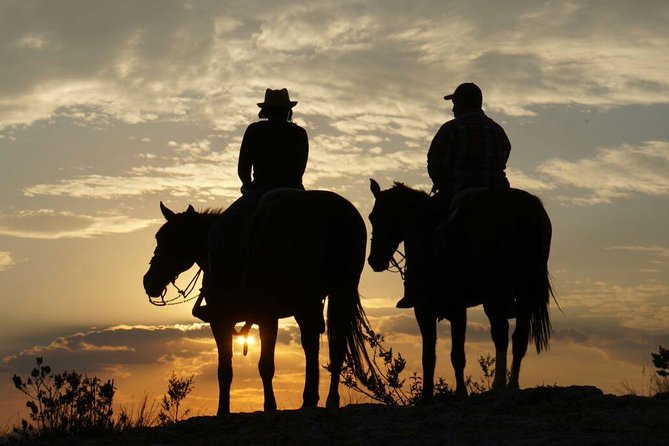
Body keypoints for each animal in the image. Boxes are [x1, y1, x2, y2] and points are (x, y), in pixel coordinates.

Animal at [143, 191, 370, 414]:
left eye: (171, 240)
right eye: (158, 237)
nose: (148, 281)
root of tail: (336, 216)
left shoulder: (232, 319)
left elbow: (248, 367)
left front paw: (259, 407)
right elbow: (231, 369)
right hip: (327, 296)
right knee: (325, 346)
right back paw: (318, 400)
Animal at [368, 179, 552, 398]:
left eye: (374, 217)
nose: (373, 261)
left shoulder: (432, 309)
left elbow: (440, 355)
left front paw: (441, 394)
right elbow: (440, 355)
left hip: (494, 292)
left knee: (501, 332)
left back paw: (499, 385)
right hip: (521, 291)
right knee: (517, 337)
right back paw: (511, 385)